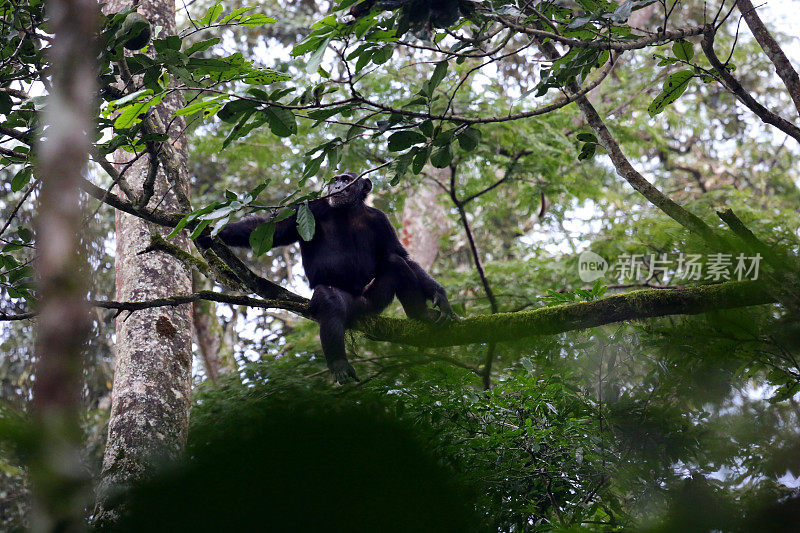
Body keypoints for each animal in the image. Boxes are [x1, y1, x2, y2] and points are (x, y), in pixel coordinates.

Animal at [199, 171, 456, 382]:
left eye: (346, 179)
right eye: (335, 180)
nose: (337, 186)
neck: (348, 210)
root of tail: (359, 304)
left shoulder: (380, 220)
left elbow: (398, 253)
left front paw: (440, 296)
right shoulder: (309, 208)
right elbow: (272, 230)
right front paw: (207, 232)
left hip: (374, 302)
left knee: (396, 263)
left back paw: (420, 314)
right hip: (350, 302)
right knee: (331, 300)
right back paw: (339, 362)